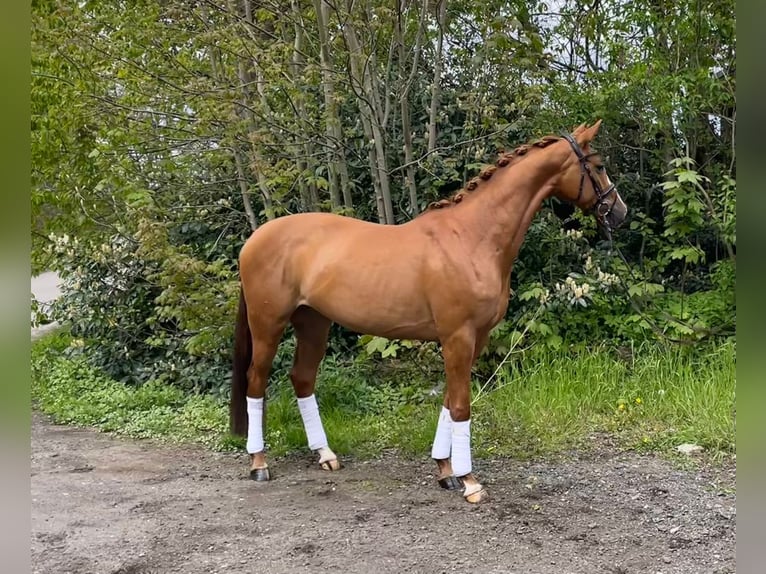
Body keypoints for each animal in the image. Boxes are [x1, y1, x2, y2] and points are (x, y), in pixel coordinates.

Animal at [231, 121, 628, 504]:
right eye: (598, 166)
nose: (620, 212)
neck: (471, 237)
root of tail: (254, 239)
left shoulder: (474, 338)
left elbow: (450, 401)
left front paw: (445, 471)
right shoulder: (457, 337)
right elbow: (462, 406)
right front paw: (469, 482)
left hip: (313, 321)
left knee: (302, 378)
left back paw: (325, 454)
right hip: (268, 325)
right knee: (256, 381)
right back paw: (259, 463)